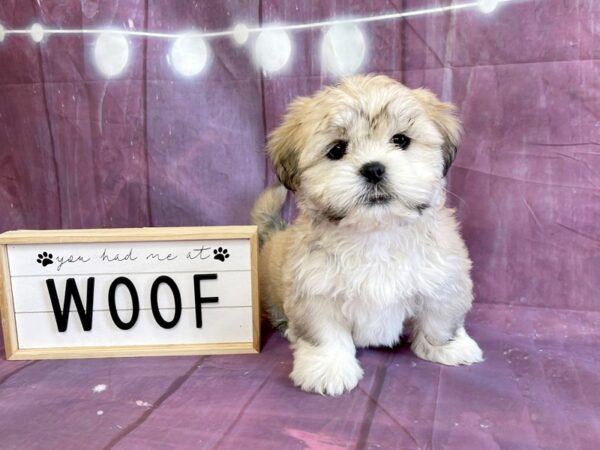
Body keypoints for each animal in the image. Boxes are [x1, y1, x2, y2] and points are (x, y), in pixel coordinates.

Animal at [252, 75, 482, 396]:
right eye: (337, 150)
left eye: (401, 140)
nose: (373, 169)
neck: (375, 232)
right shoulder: (314, 289)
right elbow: (325, 333)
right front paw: (328, 369)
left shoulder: (443, 274)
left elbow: (440, 315)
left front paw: (448, 346)